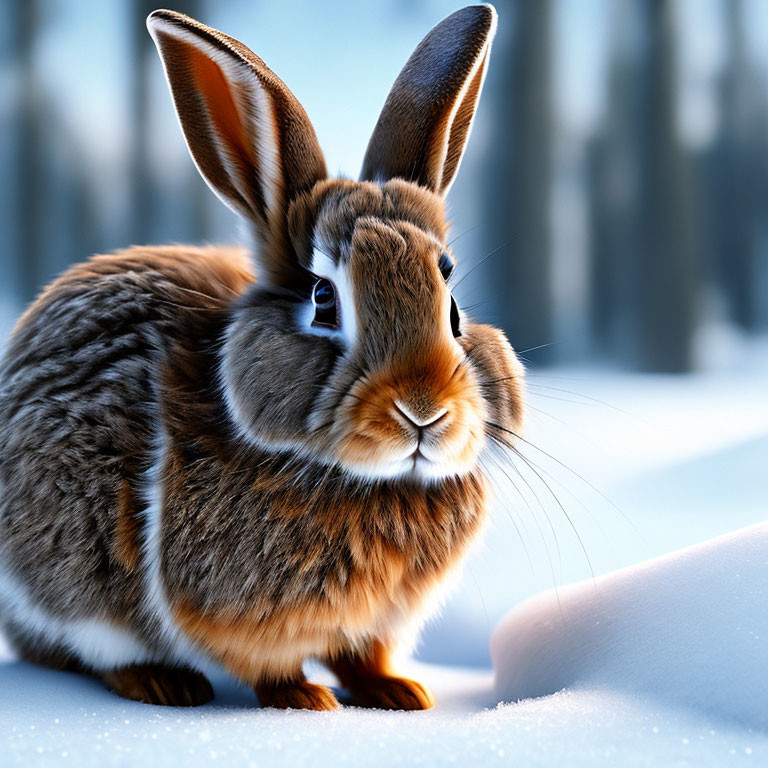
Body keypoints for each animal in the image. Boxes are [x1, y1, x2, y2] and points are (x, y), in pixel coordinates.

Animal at [0, 4, 524, 712]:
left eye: (454, 308)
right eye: (324, 301)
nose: (424, 410)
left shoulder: (374, 624)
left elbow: (364, 655)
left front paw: (400, 692)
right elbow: (266, 665)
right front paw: (305, 700)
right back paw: (162, 681)